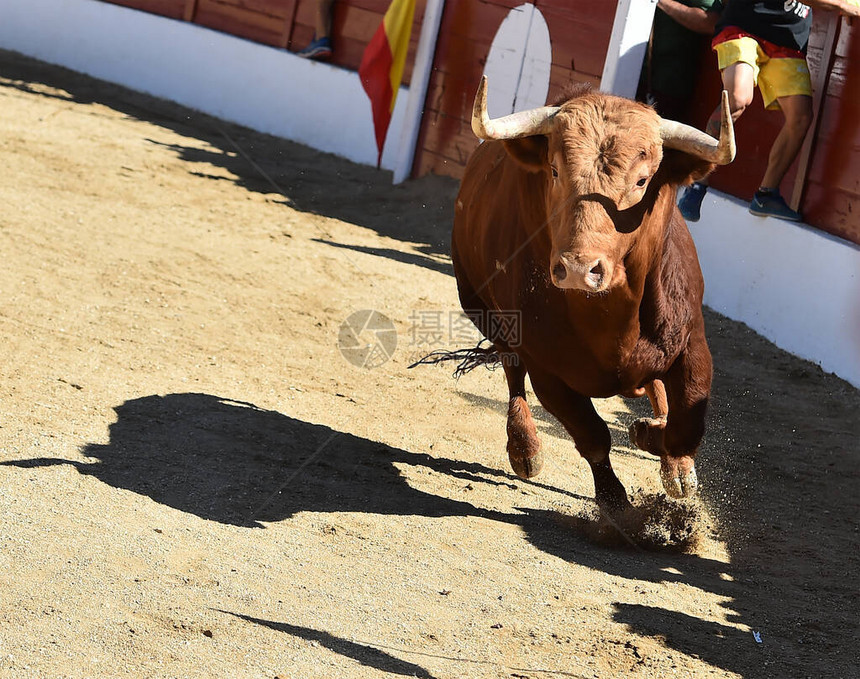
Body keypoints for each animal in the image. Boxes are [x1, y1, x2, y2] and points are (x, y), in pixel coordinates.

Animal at [450, 75, 732, 510]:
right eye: (553, 170)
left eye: (642, 180)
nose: (580, 270)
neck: (611, 316)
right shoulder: (546, 367)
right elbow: (592, 435)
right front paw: (619, 507)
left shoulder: (692, 345)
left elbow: (686, 423)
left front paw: (664, 451)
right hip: (481, 308)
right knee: (512, 371)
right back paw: (525, 449)